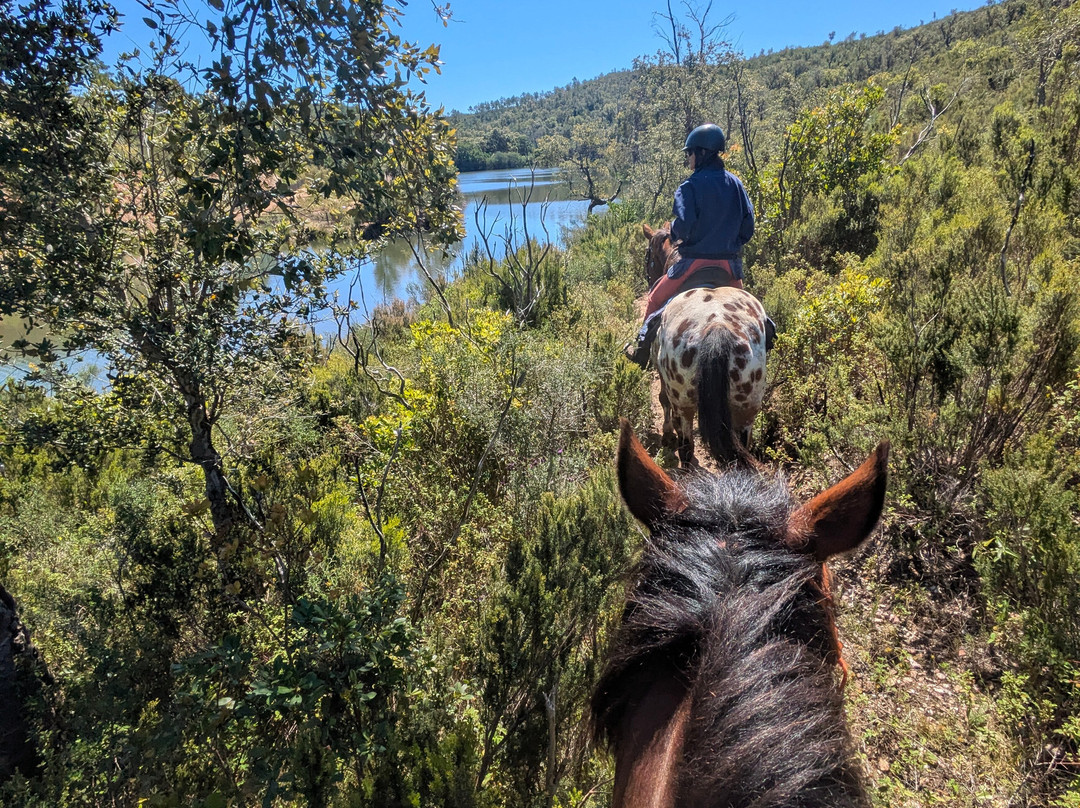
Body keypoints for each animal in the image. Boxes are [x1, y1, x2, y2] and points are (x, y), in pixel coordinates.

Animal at [641, 224, 768, 467]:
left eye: (648, 256)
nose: (649, 280)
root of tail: (717, 326)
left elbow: (663, 400)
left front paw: (666, 436)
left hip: (684, 403)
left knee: (686, 447)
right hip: (746, 407)